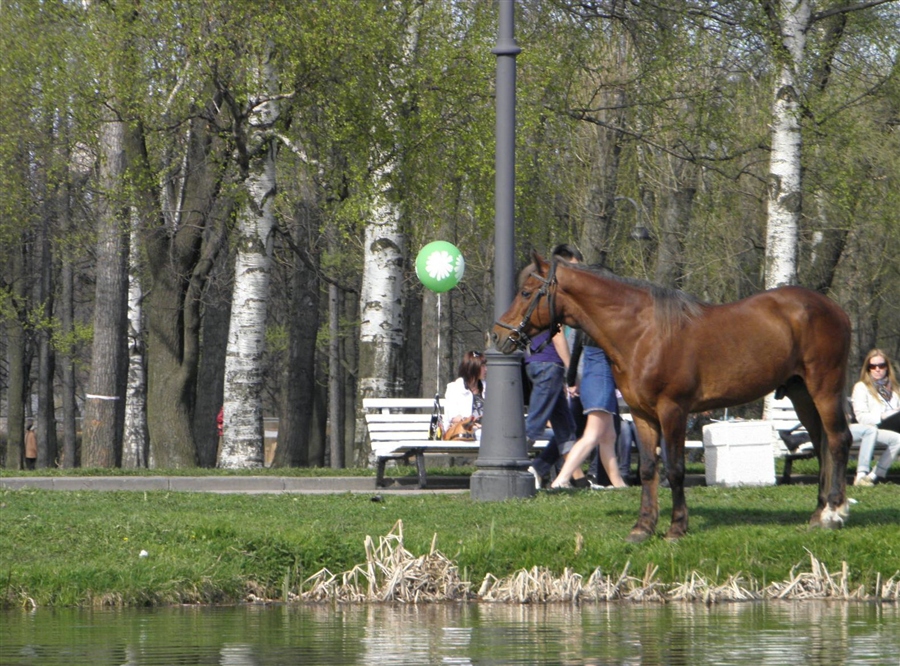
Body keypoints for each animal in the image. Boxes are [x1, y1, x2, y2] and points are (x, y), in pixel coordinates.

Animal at [492, 253, 852, 540]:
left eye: (526, 292)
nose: (497, 335)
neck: (642, 333)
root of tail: (835, 308)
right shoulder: (641, 414)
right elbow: (649, 469)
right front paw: (642, 527)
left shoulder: (673, 410)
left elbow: (675, 469)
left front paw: (677, 527)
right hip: (801, 394)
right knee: (821, 442)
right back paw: (819, 513)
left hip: (825, 388)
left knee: (838, 440)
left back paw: (835, 512)